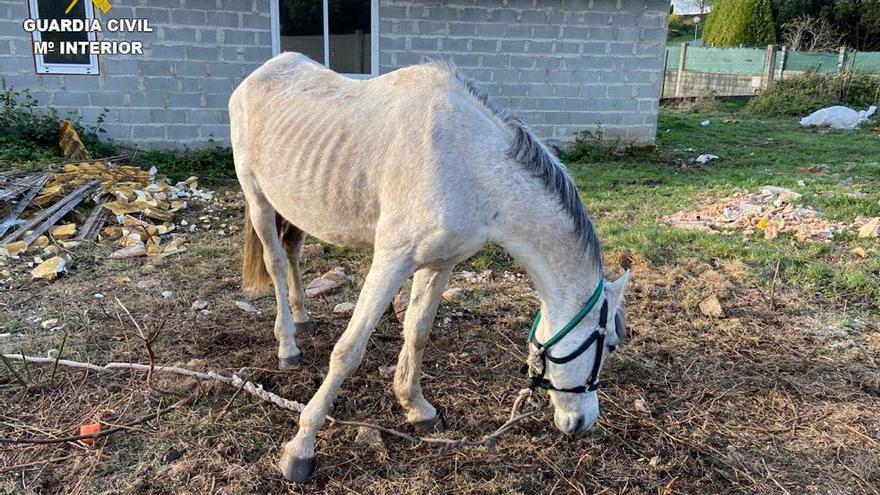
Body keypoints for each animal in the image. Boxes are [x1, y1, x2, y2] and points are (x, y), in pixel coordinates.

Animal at [227, 52, 628, 482]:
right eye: (610, 343)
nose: (584, 422)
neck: (470, 165)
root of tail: (261, 73)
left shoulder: (440, 264)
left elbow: (417, 332)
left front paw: (416, 408)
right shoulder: (391, 260)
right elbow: (349, 350)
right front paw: (301, 448)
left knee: (294, 251)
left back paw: (303, 319)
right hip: (259, 200)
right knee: (275, 262)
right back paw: (288, 346)